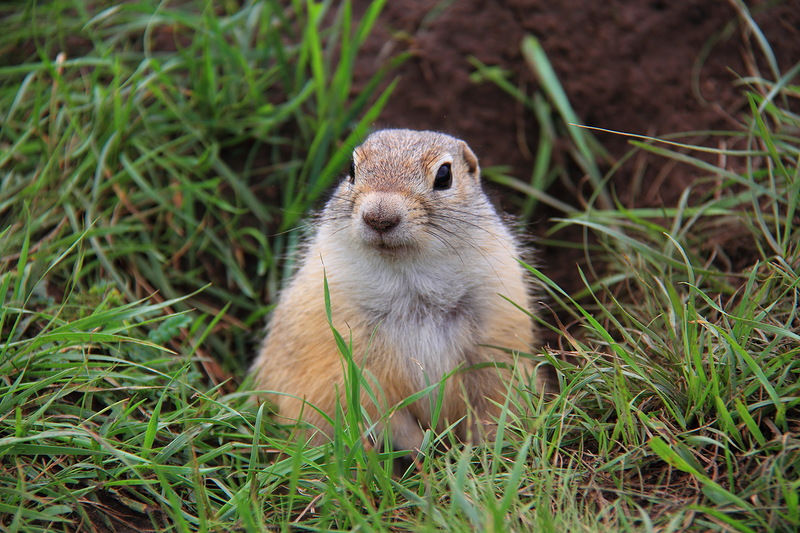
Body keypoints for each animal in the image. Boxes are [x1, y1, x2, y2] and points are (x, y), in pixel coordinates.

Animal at [253, 128, 548, 448]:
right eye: (351, 170)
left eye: (444, 175)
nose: (380, 217)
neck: (409, 279)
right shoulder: (343, 358)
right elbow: (377, 411)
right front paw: (423, 450)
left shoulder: (496, 341)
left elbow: (495, 402)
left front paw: (485, 450)